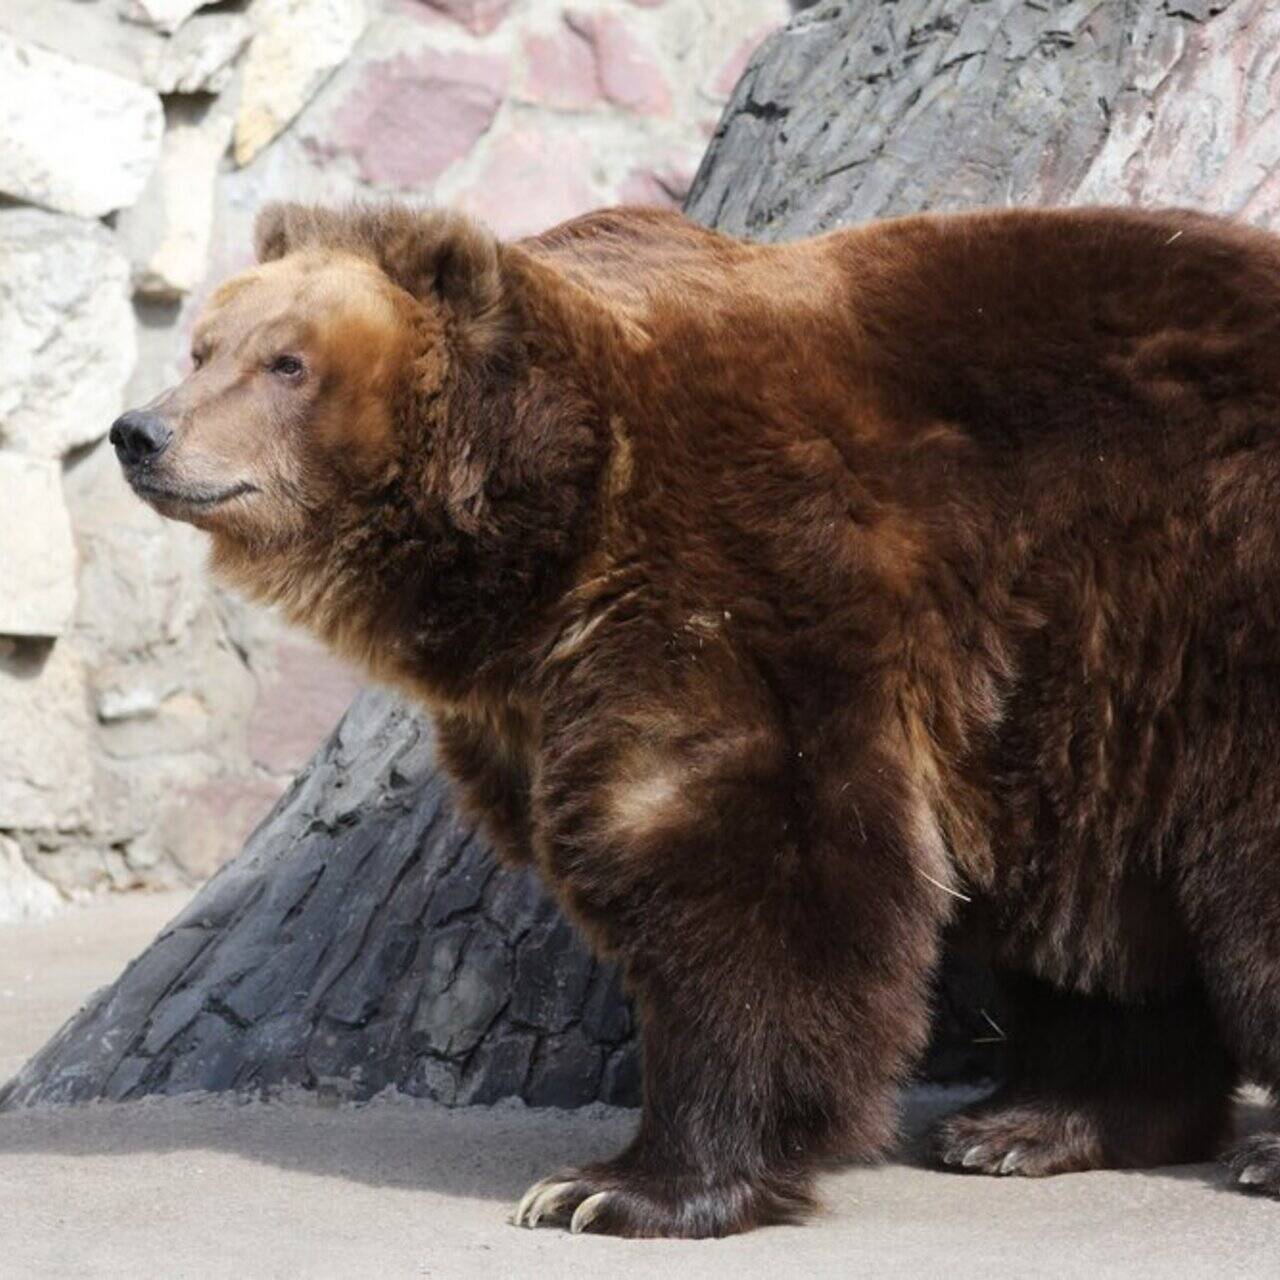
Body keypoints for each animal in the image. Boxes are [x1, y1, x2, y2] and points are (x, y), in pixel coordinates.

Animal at [110, 202, 1280, 1239]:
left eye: (286, 363)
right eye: (204, 345)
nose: (140, 431)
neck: (546, 522)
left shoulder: (739, 573)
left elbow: (753, 870)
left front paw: (615, 1187)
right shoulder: (536, 684)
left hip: (1217, 588)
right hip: (1092, 676)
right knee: (1099, 900)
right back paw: (1030, 1121)